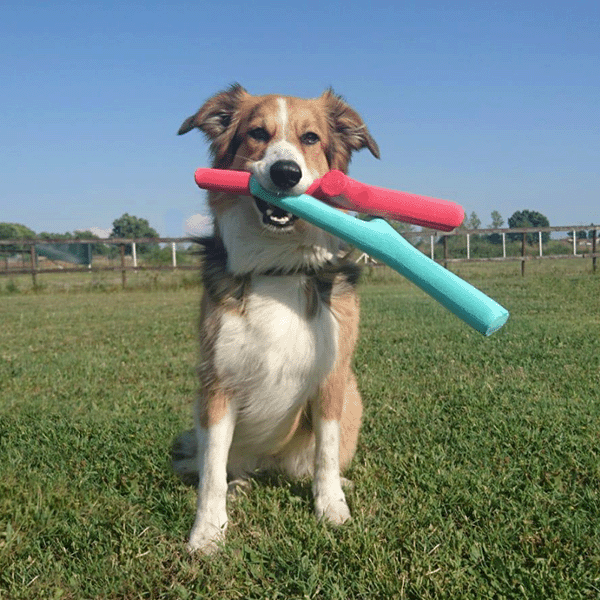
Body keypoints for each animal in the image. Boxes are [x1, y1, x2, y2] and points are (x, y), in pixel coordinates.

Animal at [173, 84, 380, 552]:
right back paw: (240, 486)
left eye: (311, 138)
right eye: (257, 133)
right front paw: (207, 532)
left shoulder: (332, 375)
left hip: (354, 396)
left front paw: (332, 508)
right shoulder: (217, 382)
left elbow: (325, 454)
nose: (286, 173)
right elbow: (211, 472)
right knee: (227, 466)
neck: (277, 267)